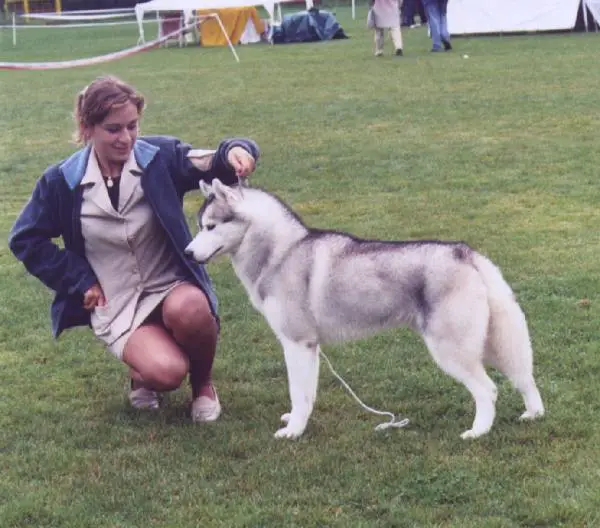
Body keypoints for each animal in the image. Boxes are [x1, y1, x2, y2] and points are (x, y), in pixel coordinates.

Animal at [185, 179, 548, 440]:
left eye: (211, 227)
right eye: (200, 225)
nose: (187, 253)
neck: (282, 253)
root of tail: (466, 253)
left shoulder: (297, 343)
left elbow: (298, 392)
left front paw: (293, 432)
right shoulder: (310, 347)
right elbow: (308, 393)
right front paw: (299, 422)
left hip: (452, 349)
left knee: (488, 389)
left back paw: (478, 431)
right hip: (490, 342)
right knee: (524, 377)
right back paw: (533, 414)